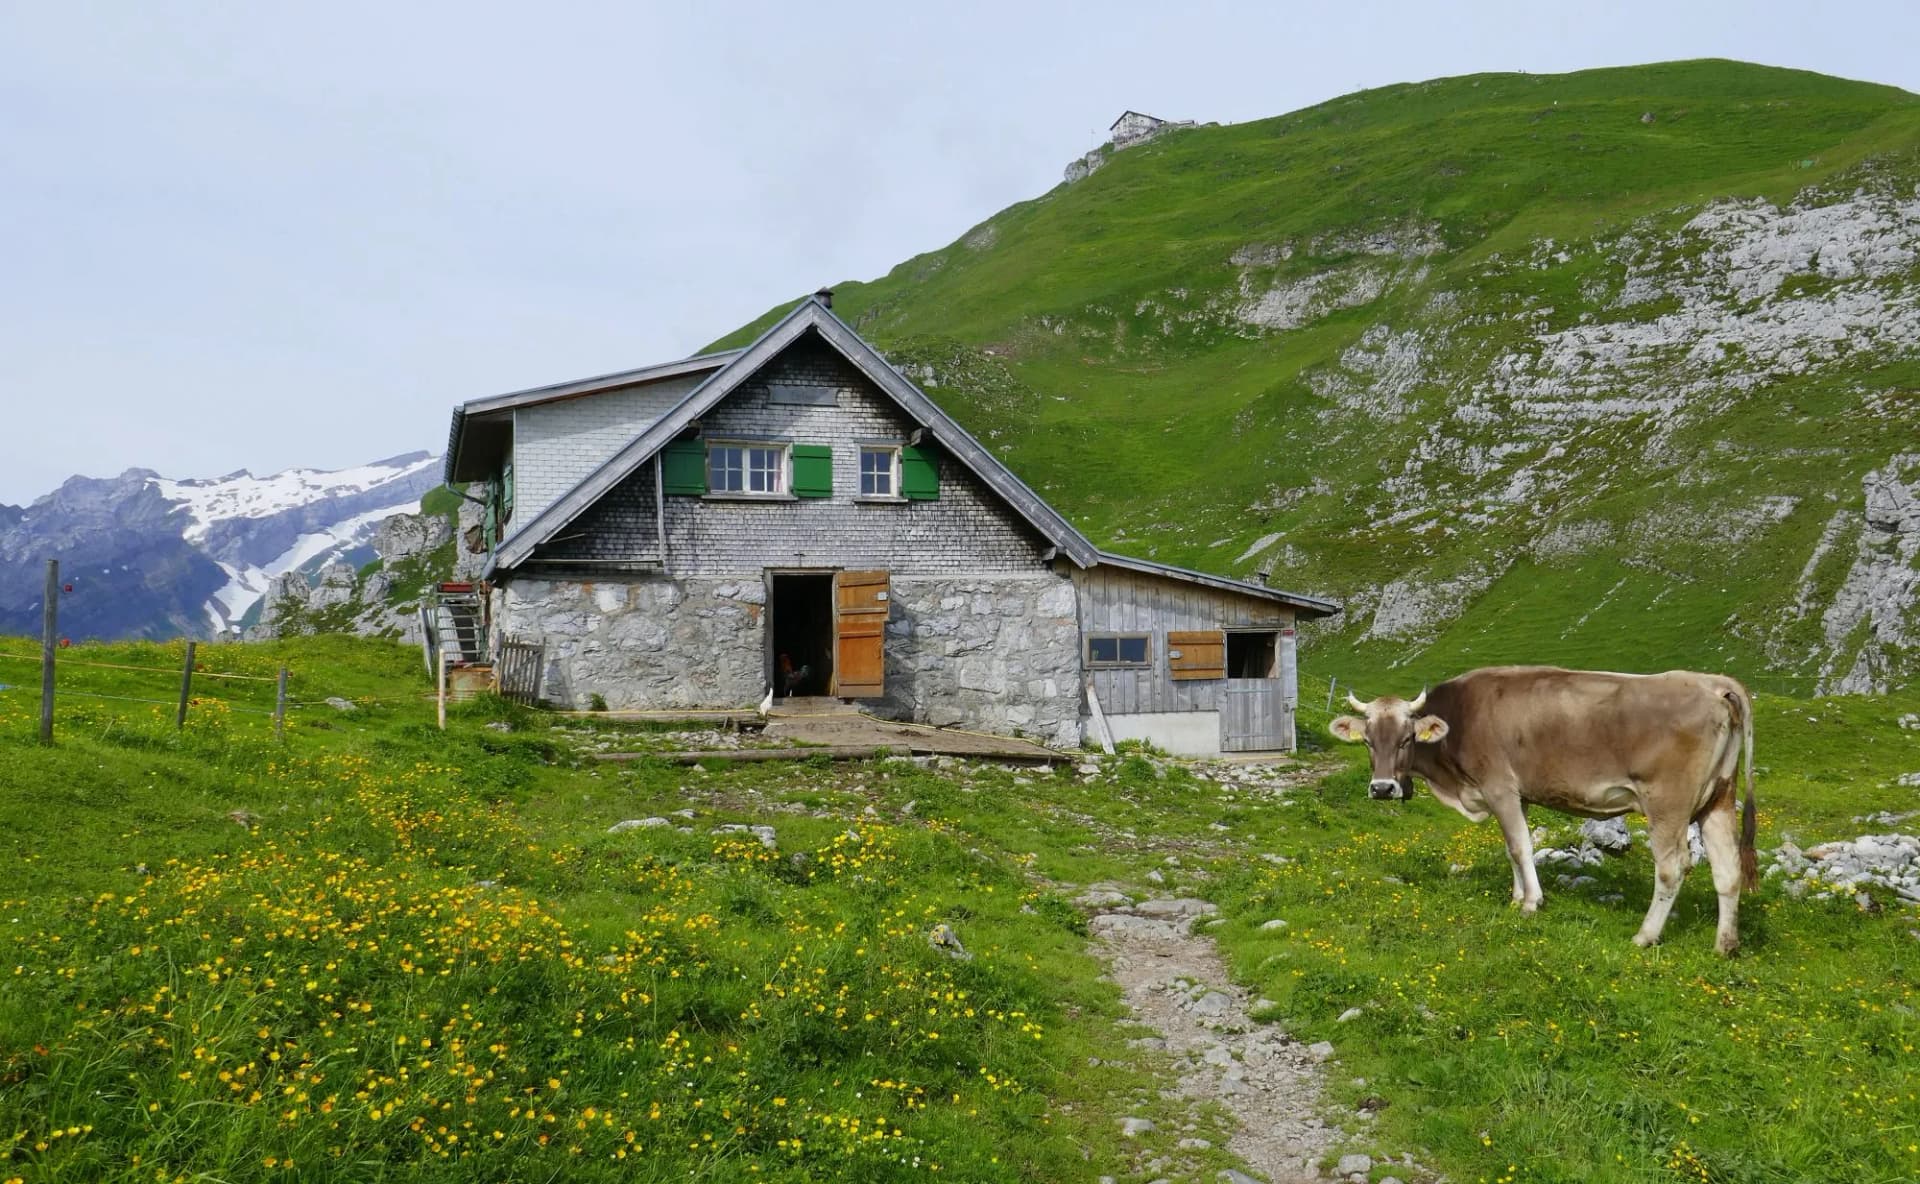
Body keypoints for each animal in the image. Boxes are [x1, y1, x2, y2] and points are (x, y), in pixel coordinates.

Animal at [1328, 666, 1758, 955]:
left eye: (1406, 739)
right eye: (1367, 741)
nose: (1382, 788)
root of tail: (1714, 683)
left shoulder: (1499, 786)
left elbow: (1521, 846)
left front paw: (1532, 902)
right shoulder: (1517, 795)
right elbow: (1512, 849)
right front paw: (1517, 896)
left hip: (1667, 803)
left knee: (1672, 867)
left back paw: (1645, 935)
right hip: (1718, 798)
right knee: (1727, 868)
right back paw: (1726, 944)